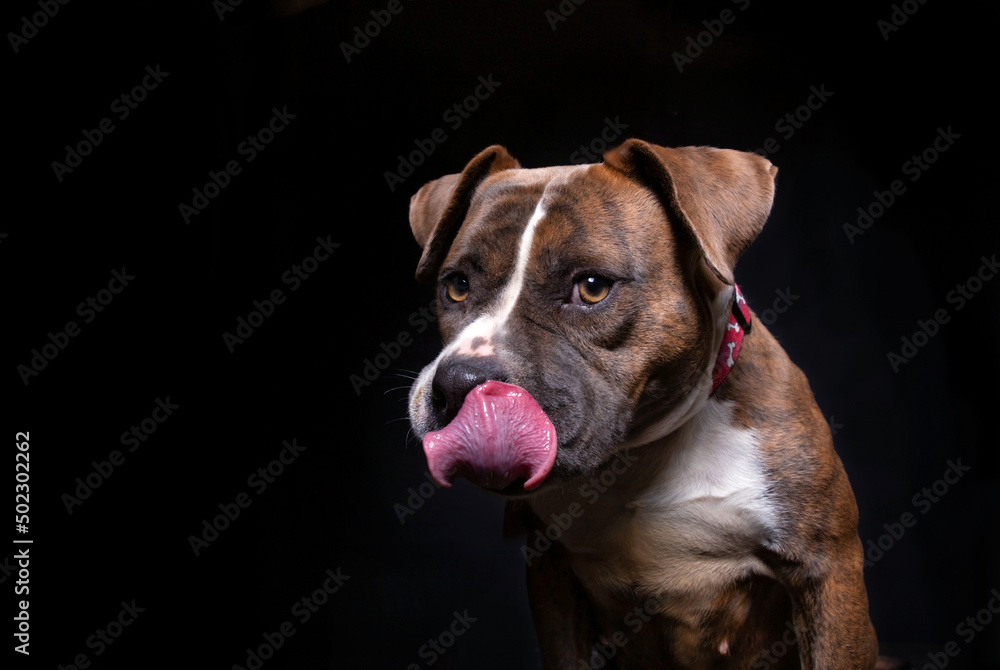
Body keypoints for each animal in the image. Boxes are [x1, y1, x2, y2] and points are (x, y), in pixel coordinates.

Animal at [402, 139, 888, 668]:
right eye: (456, 286)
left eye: (592, 287)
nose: (460, 383)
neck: (636, 456)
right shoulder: (550, 576)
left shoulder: (826, 571)